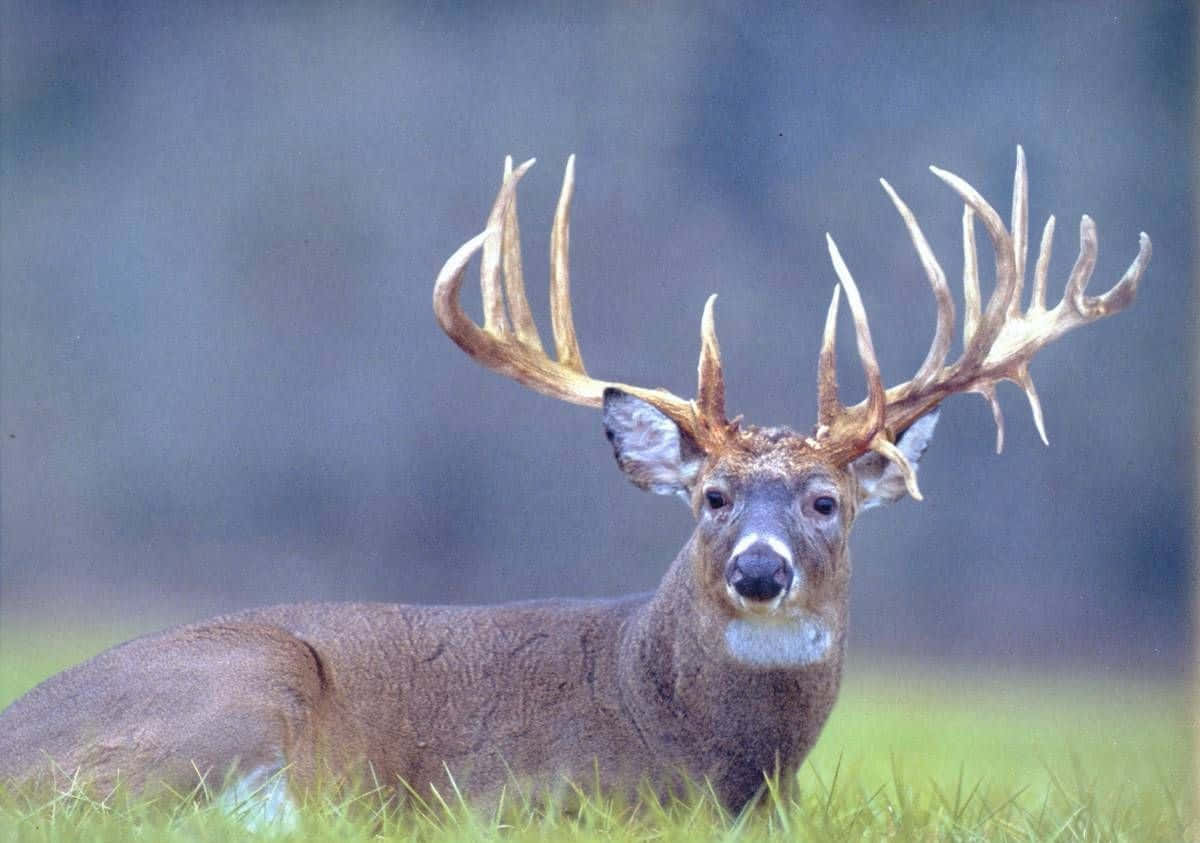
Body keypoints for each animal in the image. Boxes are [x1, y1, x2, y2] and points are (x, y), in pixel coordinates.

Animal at [0, 148, 1150, 818]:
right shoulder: (521, 797)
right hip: (241, 689)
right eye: (712, 497)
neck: (700, 754)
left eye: (827, 501)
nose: (761, 571)